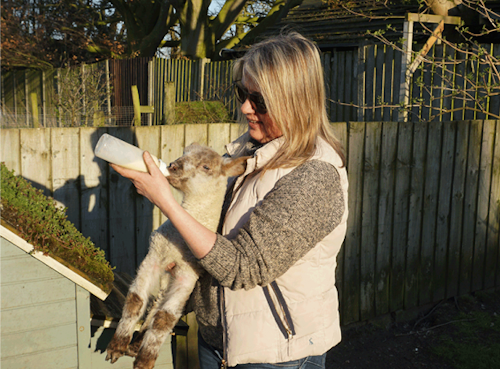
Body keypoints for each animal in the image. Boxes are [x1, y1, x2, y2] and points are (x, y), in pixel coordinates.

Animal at [106, 143, 248, 368]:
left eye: (206, 166)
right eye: (184, 154)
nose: (172, 166)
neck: (178, 242)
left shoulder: (187, 274)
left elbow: (165, 318)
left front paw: (144, 361)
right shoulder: (153, 257)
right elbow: (135, 300)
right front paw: (116, 346)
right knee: (154, 305)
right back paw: (134, 344)